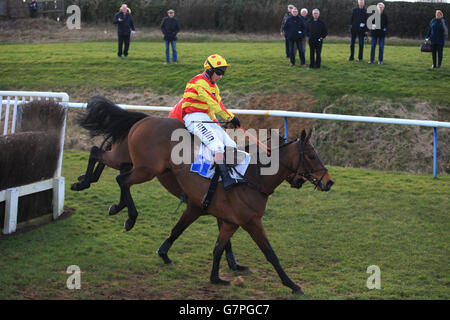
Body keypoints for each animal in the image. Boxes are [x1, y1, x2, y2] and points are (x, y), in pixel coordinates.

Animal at [76, 95, 334, 296]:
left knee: (101, 156)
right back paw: (127, 215)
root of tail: (146, 119)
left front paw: (219, 275)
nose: (329, 182)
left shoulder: (227, 219)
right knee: (119, 177)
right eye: (312, 155)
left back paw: (89, 185)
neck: (252, 177)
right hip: (146, 169)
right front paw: (293, 285)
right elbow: (270, 253)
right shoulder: (249, 221)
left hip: (132, 161)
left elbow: (217, 246)